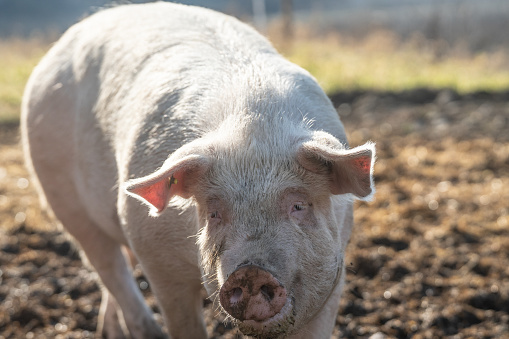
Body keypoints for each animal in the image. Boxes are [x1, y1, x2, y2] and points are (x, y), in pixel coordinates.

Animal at [20, 2, 374, 339]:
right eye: (214, 212)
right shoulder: (157, 255)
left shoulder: (334, 268)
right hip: (62, 196)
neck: (254, 131)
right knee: (109, 267)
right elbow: (183, 322)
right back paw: (147, 332)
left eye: (299, 206)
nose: (250, 272)